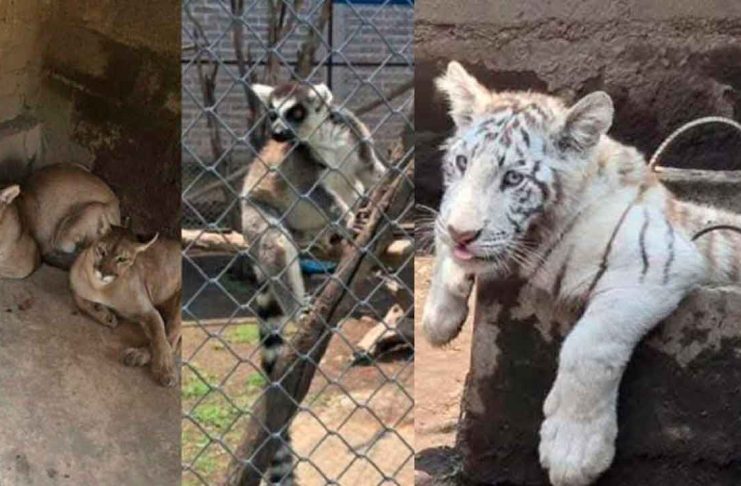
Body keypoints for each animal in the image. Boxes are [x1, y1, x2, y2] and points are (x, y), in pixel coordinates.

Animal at [421, 61, 741, 486]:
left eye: (513, 179)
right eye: (461, 164)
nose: (462, 234)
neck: (539, 234)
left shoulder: (657, 261)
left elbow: (588, 346)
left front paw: (573, 451)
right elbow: (443, 223)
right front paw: (438, 318)